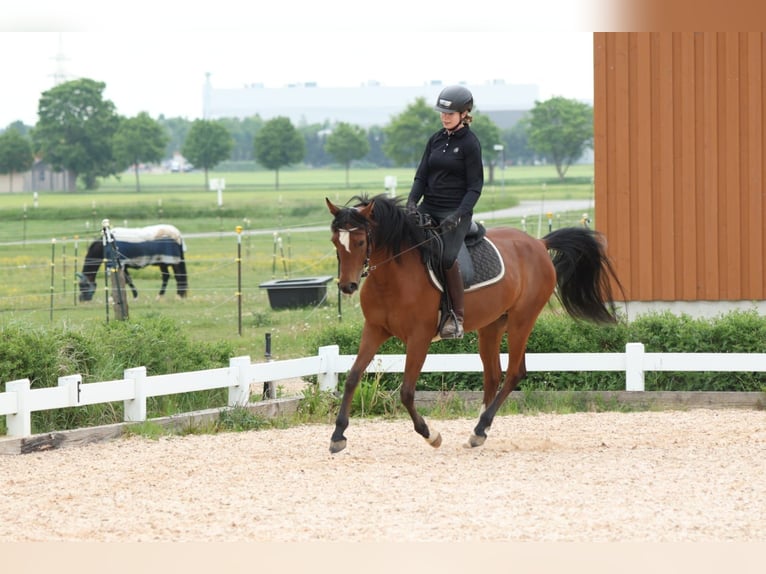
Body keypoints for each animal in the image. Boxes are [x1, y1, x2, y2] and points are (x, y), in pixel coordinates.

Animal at [326, 193, 624, 454]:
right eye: (335, 242)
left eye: (361, 241)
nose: (347, 286)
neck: (393, 275)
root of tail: (539, 243)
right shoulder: (375, 330)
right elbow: (352, 378)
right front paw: (338, 435)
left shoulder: (419, 337)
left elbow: (407, 392)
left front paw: (431, 435)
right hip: (492, 326)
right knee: (493, 375)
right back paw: (478, 431)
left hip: (522, 320)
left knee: (514, 373)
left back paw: (480, 430)